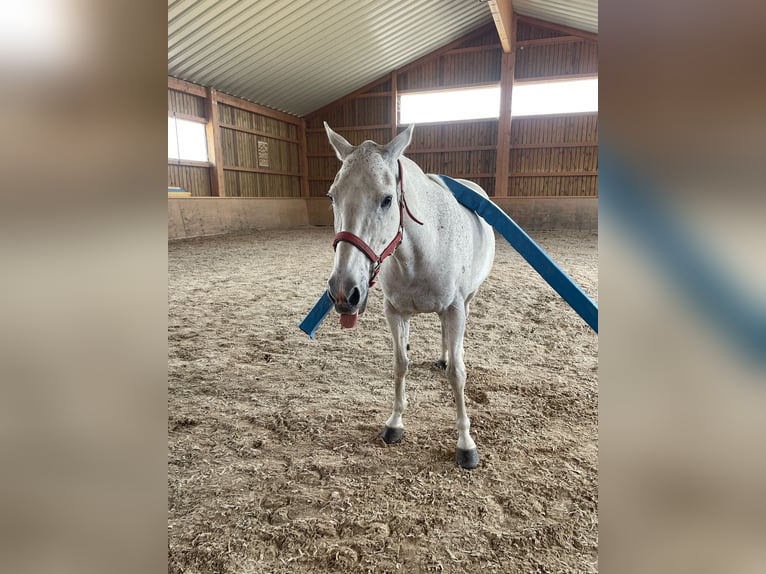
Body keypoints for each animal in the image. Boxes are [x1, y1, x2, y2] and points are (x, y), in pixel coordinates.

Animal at [323, 122, 496, 469]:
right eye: (332, 196)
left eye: (387, 199)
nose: (344, 292)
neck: (420, 252)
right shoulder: (395, 313)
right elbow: (401, 364)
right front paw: (394, 424)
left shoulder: (455, 309)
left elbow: (458, 375)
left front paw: (466, 444)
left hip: (467, 300)